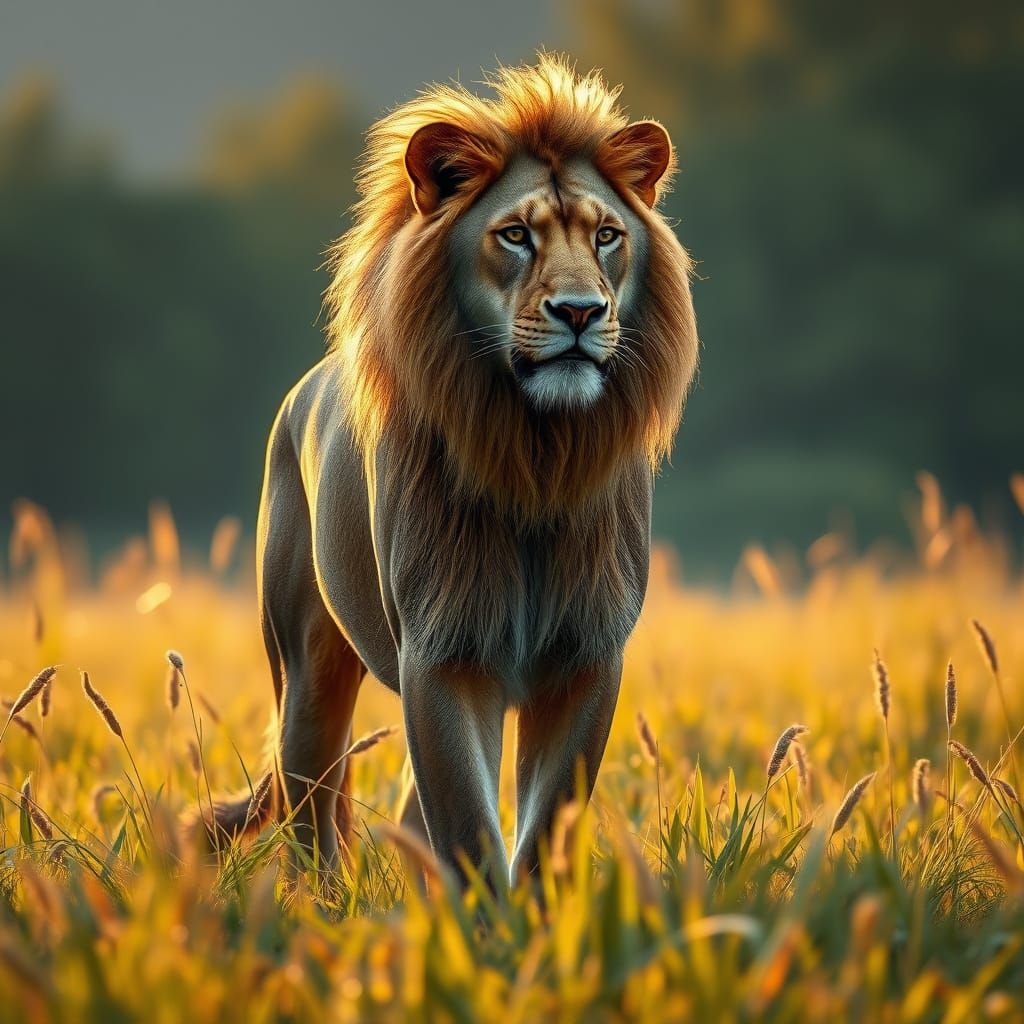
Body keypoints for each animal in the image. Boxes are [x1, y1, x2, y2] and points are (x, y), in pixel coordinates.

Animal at [204, 55, 699, 886]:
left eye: (606, 235)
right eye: (515, 236)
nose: (580, 312)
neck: (539, 452)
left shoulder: (587, 657)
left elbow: (545, 827)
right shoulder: (442, 654)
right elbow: (468, 828)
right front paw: (486, 922)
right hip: (304, 668)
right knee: (313, 810)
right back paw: (325, 905)